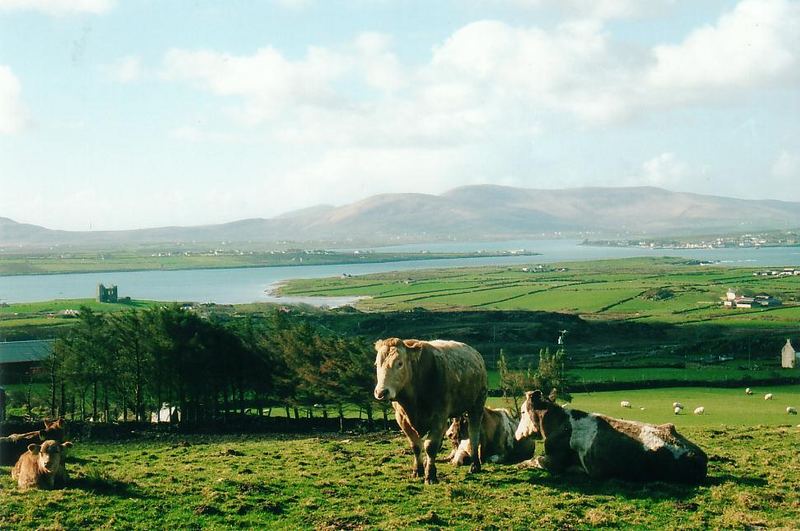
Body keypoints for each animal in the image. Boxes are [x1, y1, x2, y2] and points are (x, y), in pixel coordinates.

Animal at [376, 338, 488, 484]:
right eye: (377, 363)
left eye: (399, 363)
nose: (381, 392)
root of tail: (476, 354)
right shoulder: (401, 418)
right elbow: (415, 445)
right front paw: (418, 470)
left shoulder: (439, 416)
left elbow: (430, 446)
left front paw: (430, 475)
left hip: (477, 405)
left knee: (474, 433)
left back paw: (475, 465)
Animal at [512, 388, 708, 484]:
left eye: (522, 412)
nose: (516, 435)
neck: (558, 422)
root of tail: (699, 455)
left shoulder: (554, 460)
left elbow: (533, 460)